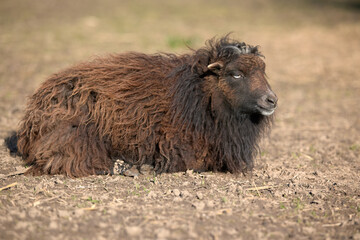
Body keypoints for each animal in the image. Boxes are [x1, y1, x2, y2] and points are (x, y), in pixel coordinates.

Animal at [9, 36, 278, 177]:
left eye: (263, 71)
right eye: (235, 74)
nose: (271, 100)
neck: (198, 94)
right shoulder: (179, 149)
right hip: (74, 134)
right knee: (70, 161)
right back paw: (126, 166)